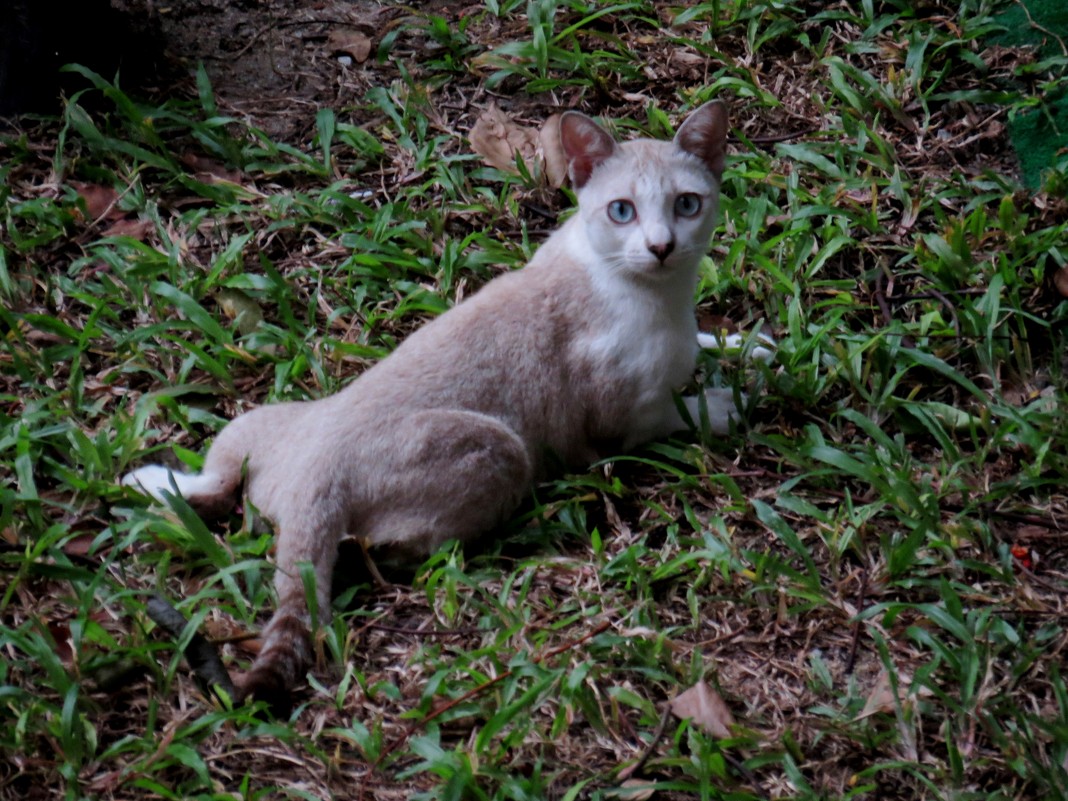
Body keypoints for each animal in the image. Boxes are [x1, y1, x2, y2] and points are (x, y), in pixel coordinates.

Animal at [122, 100, 768, 709]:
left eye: (687, 204)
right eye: (622, 211)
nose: (661, 247)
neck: (662, 296)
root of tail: (314, 477)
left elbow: (707, 345)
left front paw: (751, 347)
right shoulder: (617, 419)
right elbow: (678, 410)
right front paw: (728, 403)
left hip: (266, 418)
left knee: (215, 482)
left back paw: (147, 479)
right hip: (503, 449)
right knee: (387, 545)